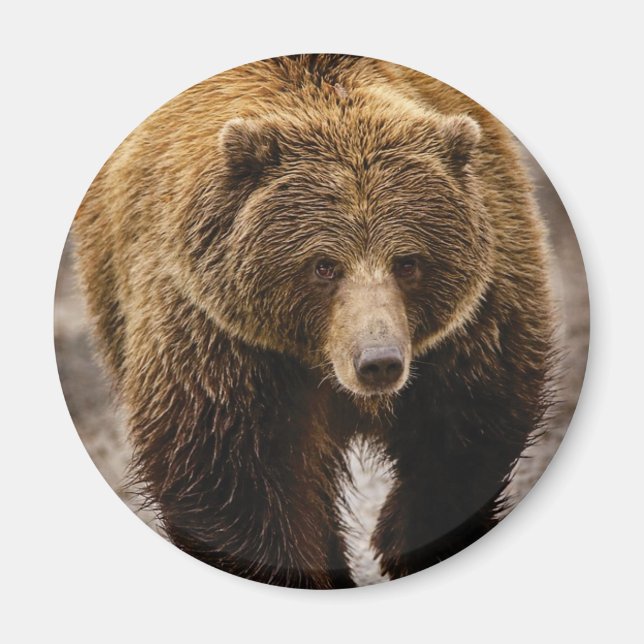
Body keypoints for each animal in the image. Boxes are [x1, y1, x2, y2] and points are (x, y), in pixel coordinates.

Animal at [73, 54, 556, 589]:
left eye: (408, 262)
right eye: (324, 265)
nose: (378, 361)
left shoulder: (475, 318)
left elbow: (468, 431)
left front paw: (405, 542)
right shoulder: (217, 335)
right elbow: (229, 478)